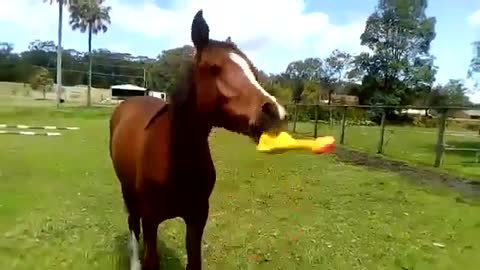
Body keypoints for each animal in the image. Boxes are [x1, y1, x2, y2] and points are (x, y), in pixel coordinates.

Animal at [109, 9, 284, 268]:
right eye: (214, 68)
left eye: (252, 70)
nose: (274, 112)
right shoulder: (151, 220)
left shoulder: (197, 217)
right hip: (128, 192)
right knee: (132, 224)